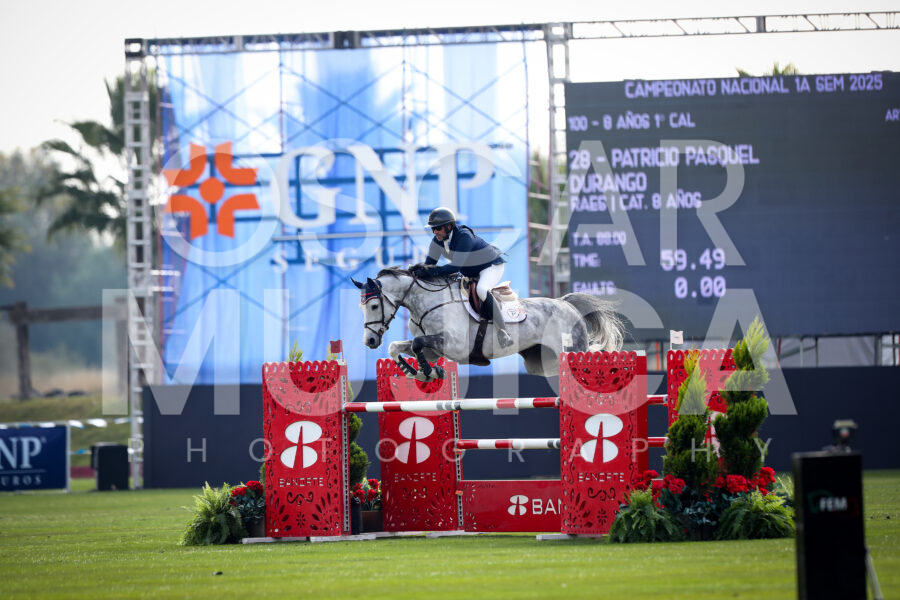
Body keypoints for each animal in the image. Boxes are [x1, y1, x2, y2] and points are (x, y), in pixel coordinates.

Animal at [351, 267, 624, 381]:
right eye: (361, 308)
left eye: (373, 306)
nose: (370, 341)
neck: (427, 303)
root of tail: (566, 304)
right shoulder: (434, 348)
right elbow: (399, 347)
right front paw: (416, 371)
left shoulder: (455, 345)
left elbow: (418, 343)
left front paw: (428, 371)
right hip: (543, 363)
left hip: (570, 351)